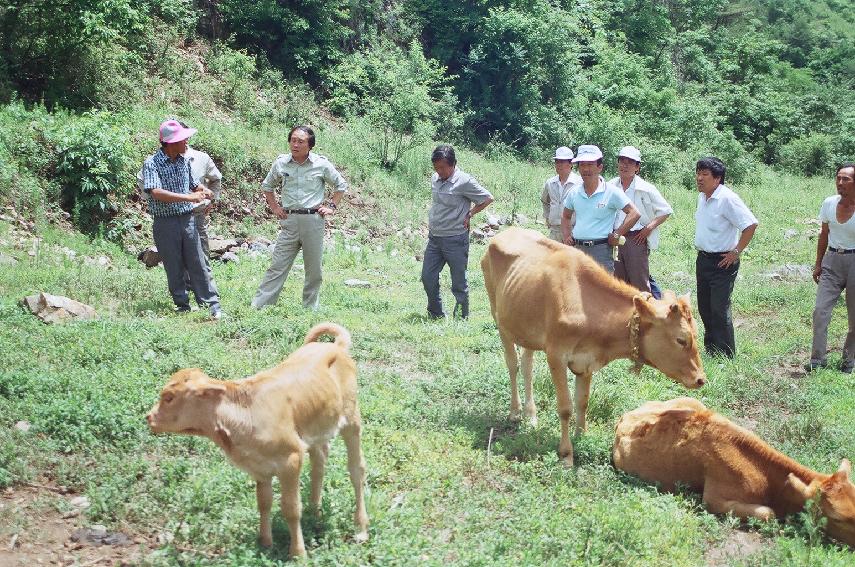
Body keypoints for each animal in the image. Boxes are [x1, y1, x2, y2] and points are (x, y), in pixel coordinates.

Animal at [484, 229, 704, 468]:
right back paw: (515, 412)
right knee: (512, 365)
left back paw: (531, 415)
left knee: (527, 367)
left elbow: (582, 402)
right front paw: (566, 455)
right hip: (500, 320)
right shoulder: (556, 355)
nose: (700, 379)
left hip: (525, 329)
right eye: (681, 339)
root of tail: (506, 232)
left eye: (696, 334)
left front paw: (582, 437)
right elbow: (565, 407)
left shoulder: (586, 361)